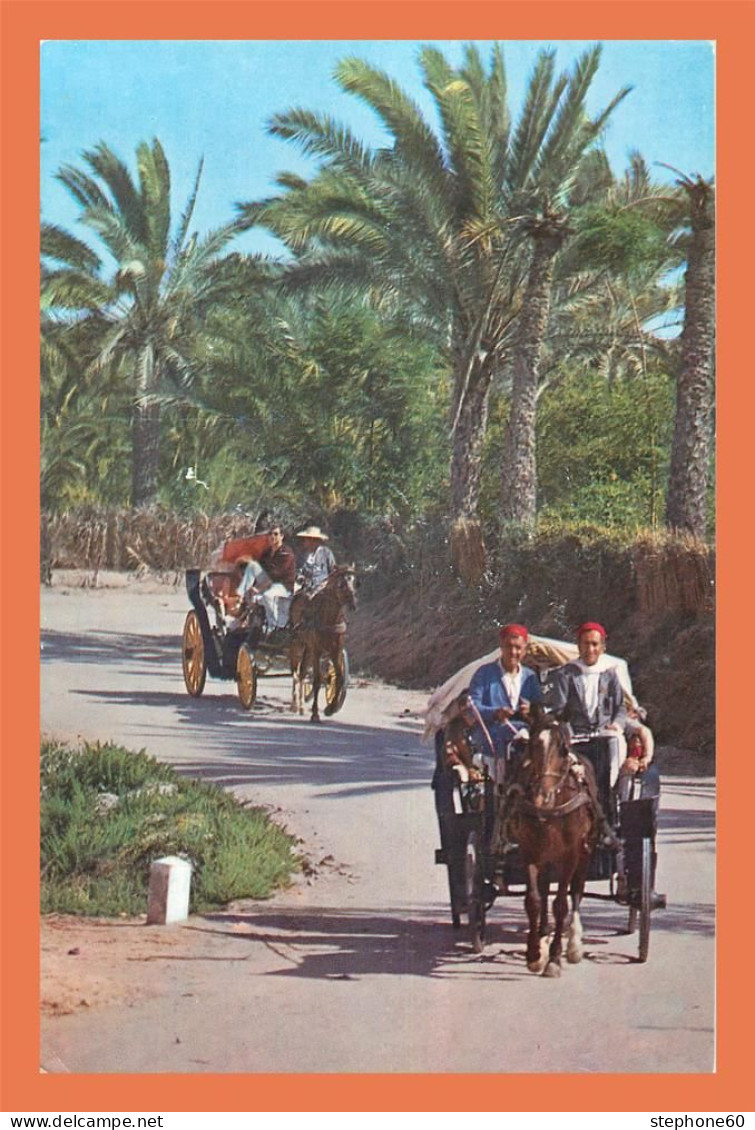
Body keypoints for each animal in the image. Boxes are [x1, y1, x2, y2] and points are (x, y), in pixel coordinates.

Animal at [291, 569, 359, 718]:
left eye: (355, 582)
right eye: (340, 584)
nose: (353, 602)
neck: (330, 619)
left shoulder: (335, 651)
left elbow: (339, 678)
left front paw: (331, 708)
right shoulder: (317, 650)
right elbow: (317, 680)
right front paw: (315, 713)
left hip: (308, 648)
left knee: (302, 672)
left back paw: (301, 706)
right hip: (298, 644)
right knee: (295, 672)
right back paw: (294, 704)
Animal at [510, 709, 596, 976]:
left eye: (563, 748)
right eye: (533, 745)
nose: (541, 797)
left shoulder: (570, 855)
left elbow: (561, 905)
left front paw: (555, 959)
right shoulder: (529, 851)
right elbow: (534, 900)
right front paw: (534, 953)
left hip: (584, 852)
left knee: (576, 891)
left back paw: (574, 944)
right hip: (547, 855)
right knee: (546, 887)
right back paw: (543, 935)